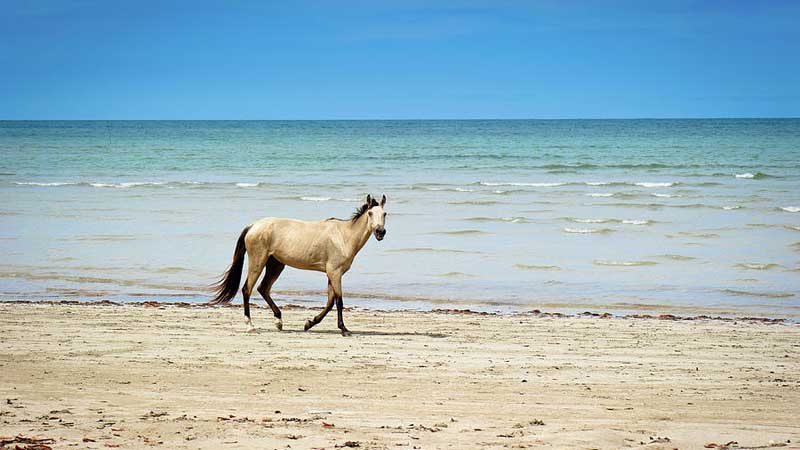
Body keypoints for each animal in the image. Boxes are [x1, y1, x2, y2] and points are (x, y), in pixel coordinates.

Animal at [209, 195, 388, 336]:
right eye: (370, 213)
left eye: (385, 213)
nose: (380, 232)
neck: (343, 237)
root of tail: (253, 226)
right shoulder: (335, 272)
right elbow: (339, 301)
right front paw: (344, 329)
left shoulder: (332, 274)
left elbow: (330, 302)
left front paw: (309, 323)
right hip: (258, 262)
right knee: (247, 289)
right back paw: (251, 326)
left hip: (276, 265)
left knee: (263, 288)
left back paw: (279, 322)